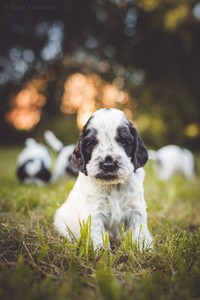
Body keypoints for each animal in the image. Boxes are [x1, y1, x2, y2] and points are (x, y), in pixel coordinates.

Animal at [54, 108, 152, 251]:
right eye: (92, 143)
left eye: (124, 141)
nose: (108, 164)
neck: (114, 186)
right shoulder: (94, 212)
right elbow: (99, 235)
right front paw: (102, 253)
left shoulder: (136, 207)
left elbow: (140, 232)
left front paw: (144, 250)